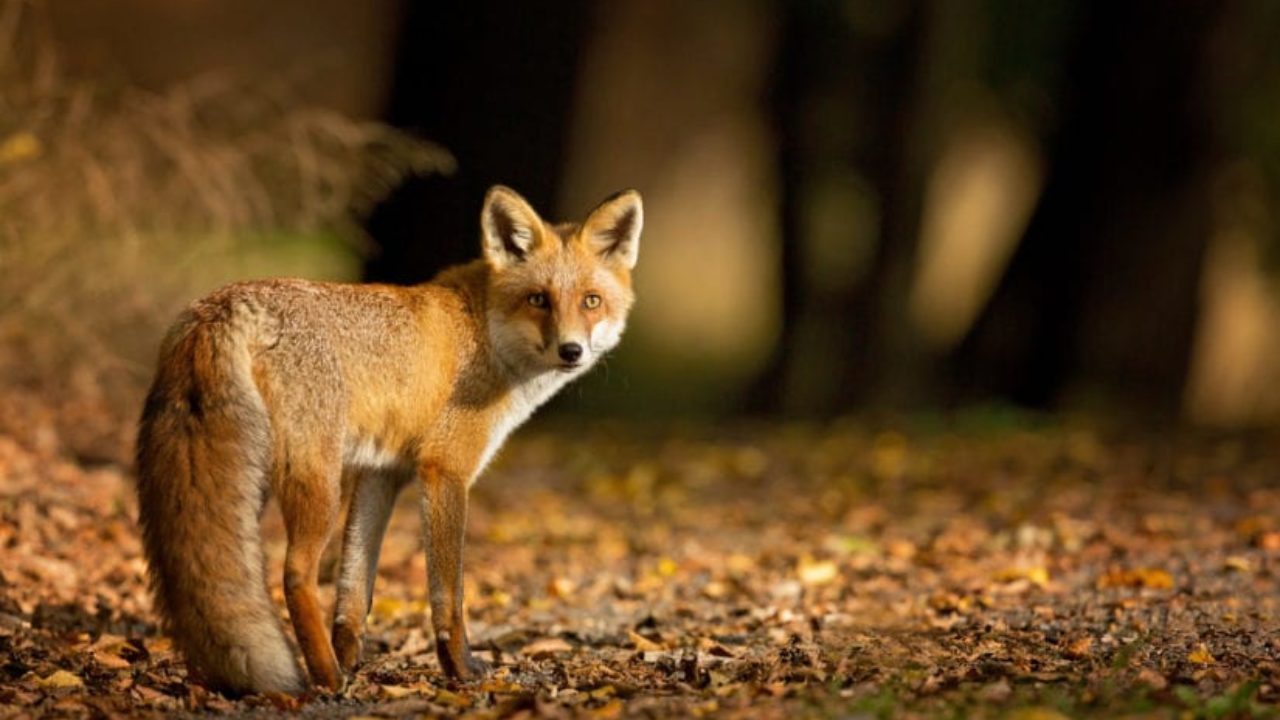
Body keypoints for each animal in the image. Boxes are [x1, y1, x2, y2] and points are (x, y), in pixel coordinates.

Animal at [132, 185, 640, 696]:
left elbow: (355, 589)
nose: (571, 350)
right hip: (317, 484)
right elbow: (448, 593)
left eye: (591, 301)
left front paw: (352, 656)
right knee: (295, 575)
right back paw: (325, 677)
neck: (484, 333)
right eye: (539, 299)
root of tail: (221, 305)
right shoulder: (444, 469)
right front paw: (459, 668)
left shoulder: (382, 473)